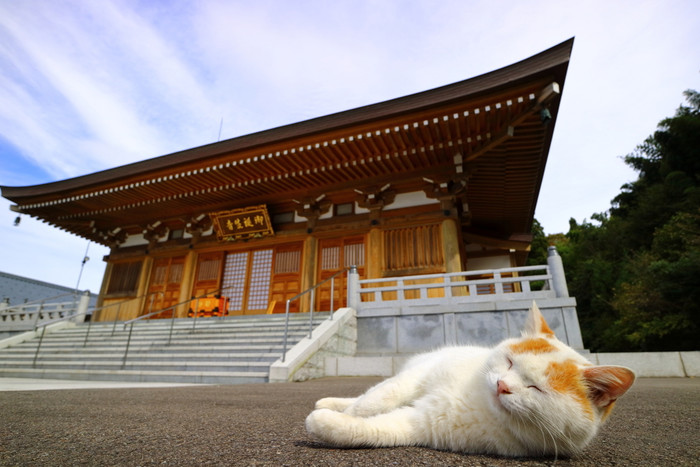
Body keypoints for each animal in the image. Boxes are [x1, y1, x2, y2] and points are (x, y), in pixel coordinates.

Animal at [304, 302, 636, 458]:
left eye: (537, 388)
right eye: (509, 362)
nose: (502, 386)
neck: (476, 398)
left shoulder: (424, 424)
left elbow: (372, 430)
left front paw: (325, 422)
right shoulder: (418, 377)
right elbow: (375, 400)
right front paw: (347, 411)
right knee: (372, 391)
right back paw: (331, 401)